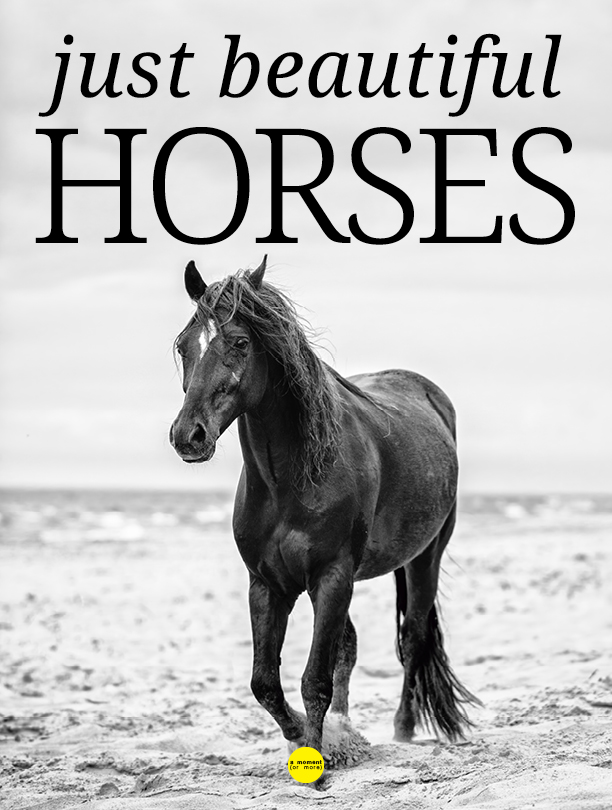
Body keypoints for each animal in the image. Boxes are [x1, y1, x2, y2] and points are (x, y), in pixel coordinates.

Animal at [169, 256, 479, 765]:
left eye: (240, 342)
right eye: (182, 344)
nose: (187, 436)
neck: (287, 483)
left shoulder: (332, 575)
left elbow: (314, 678)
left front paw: (315, 755)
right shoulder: (267, 585)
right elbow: (266, 683)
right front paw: (306, 734)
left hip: (423, 557)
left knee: (412, 639)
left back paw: (402, 730)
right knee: (350, 647)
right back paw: (348, 728)